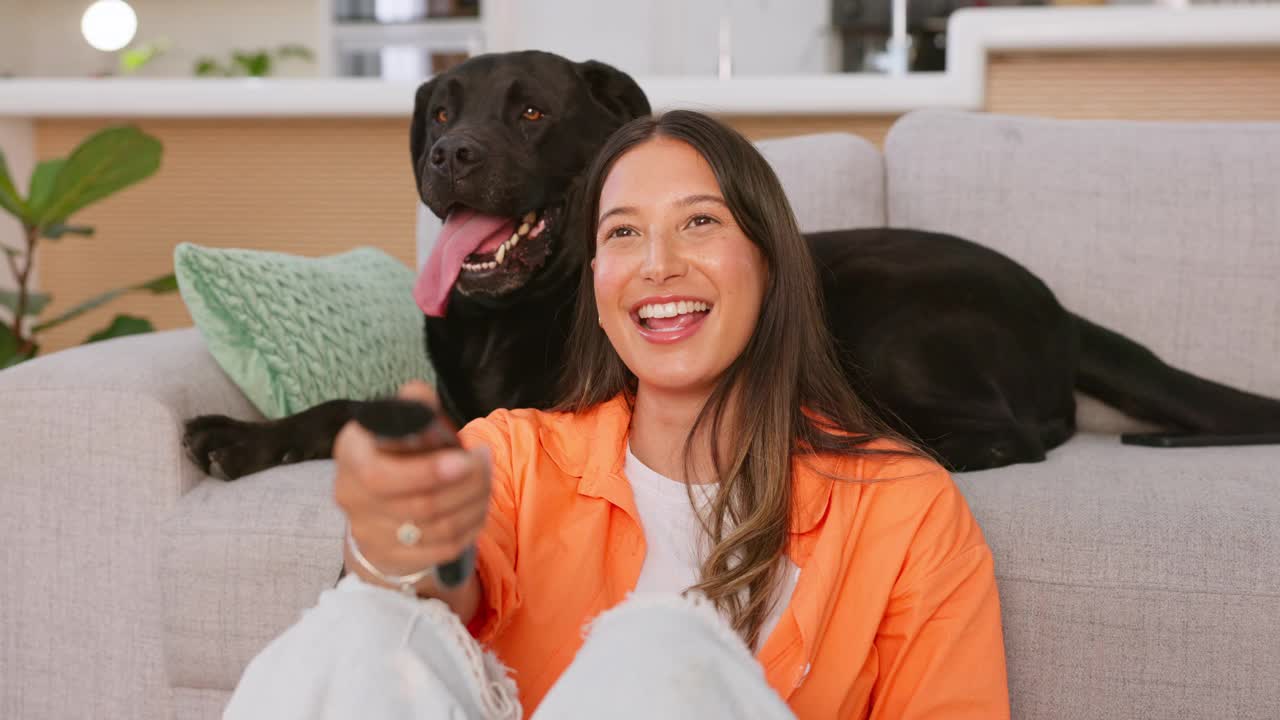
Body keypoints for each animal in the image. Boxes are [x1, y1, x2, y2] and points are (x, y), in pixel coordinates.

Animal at [183, 51, 1280, 476]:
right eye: (442, 111)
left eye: (530, 111)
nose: (451, 156)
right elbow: (351, 407)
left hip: (882, 314)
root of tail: (1060, 308)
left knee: (1013, 436)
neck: (514, 315)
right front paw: (242, 436)